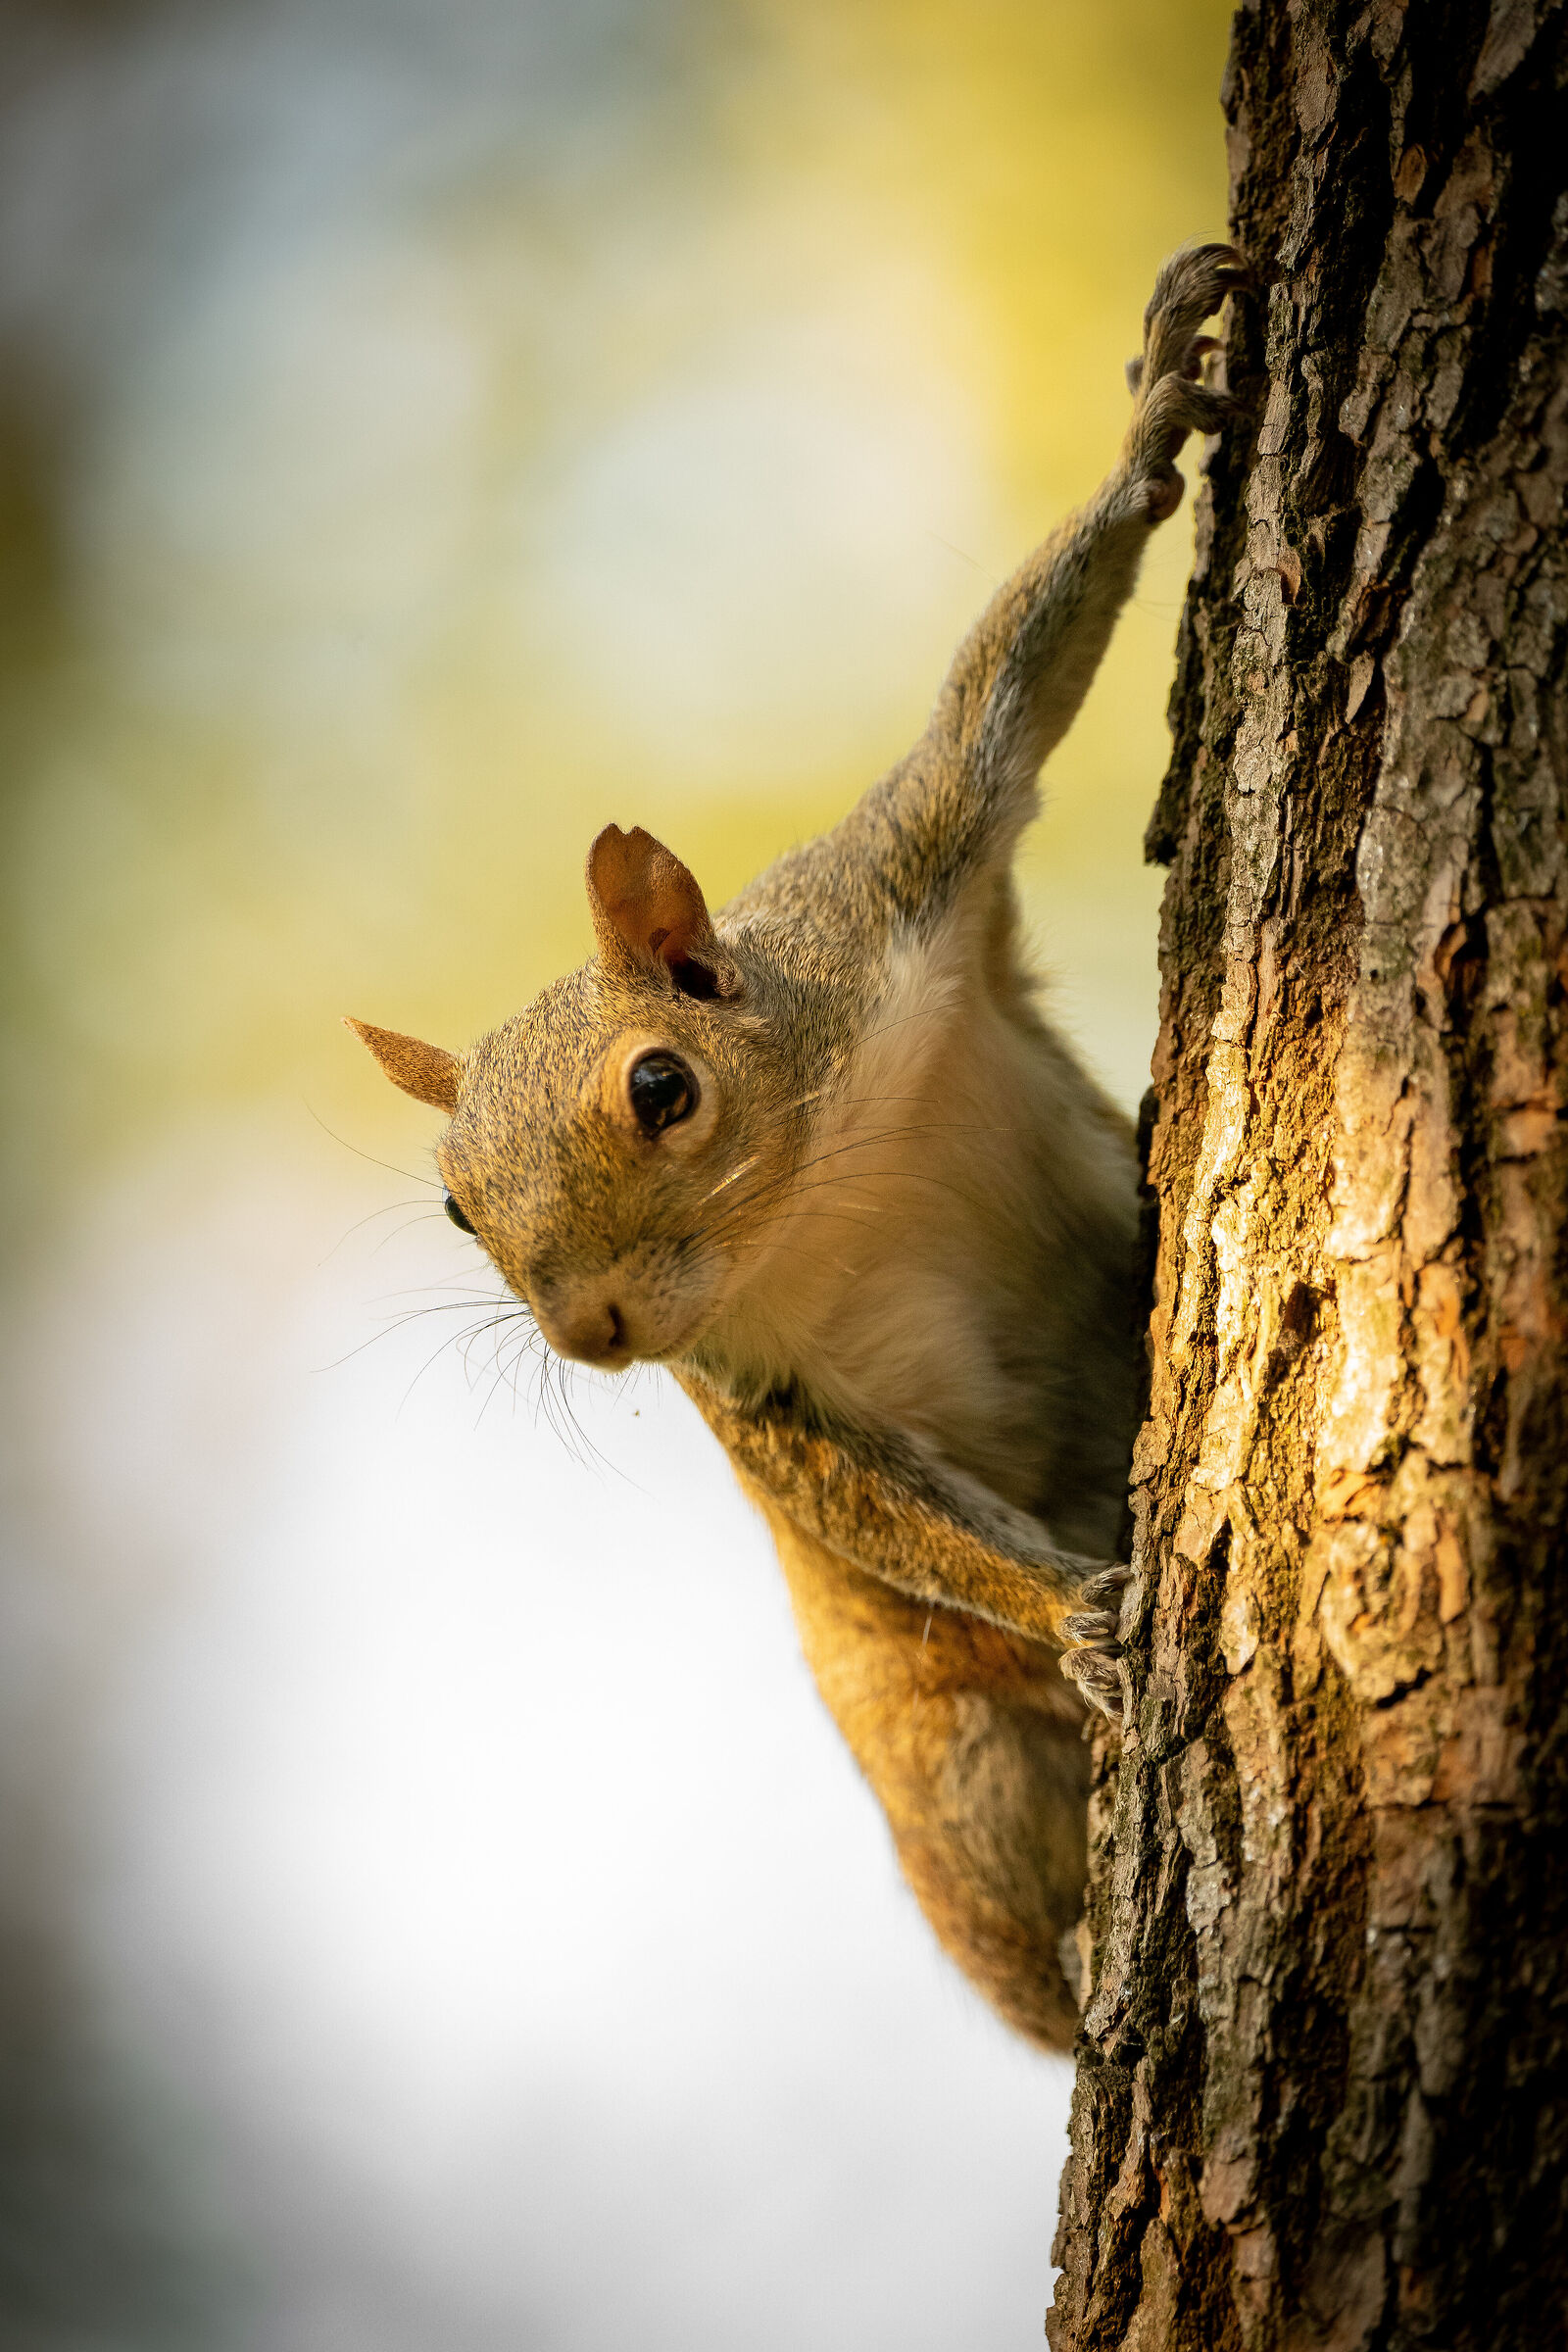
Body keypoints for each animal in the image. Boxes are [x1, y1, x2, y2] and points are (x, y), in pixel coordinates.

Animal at [347, 246, 1250, 2051]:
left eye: (660, 1088)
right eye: (459, 1212)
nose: (592, 1336)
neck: (816, 1202)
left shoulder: (896, 887)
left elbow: (998, 706)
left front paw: (1148, 432)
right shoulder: (755, 1379)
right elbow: (872, 1504)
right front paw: (1079, 1612)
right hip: (958, 1772)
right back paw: (1080, 1962)